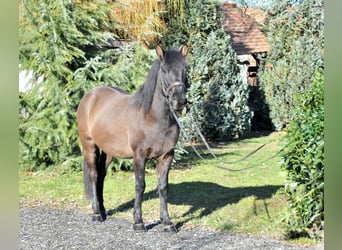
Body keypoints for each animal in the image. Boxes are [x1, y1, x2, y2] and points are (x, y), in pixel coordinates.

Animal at [76, 44, 190, 232]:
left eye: (186, 70)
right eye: (164, 70)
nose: (179, 102)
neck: (152, 117)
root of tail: (90, 96)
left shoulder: (167, 156)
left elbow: (163, 187)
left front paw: (167, 222)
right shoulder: (139, 156)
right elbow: (140, 185)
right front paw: (138, 222)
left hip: (109, 152)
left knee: (101, 176)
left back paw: (103, 210)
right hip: (89, 146)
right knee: (94, 174)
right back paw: (97, 213)